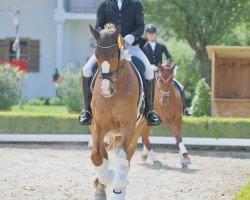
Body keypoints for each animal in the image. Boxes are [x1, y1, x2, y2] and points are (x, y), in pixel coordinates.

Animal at [89, 23, 146, 200]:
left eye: (115, 54)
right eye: (96, 54)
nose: (106, 90)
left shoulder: (129, 127)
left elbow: (121, 157)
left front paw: (117, 186)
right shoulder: (98, 125)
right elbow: (96, 155)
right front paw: (105, 179)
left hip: (137, 131)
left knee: (127, 157)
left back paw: (119, 187)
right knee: (102, 153)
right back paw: (101, 185)